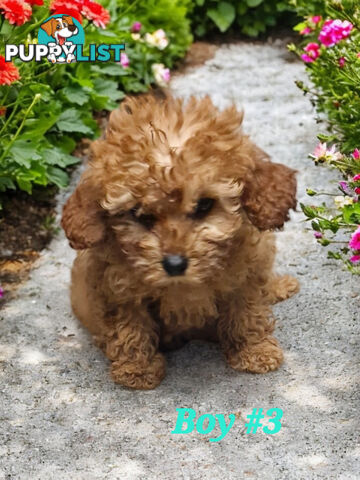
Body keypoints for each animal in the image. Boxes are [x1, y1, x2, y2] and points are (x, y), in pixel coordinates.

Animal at [61, 94, 298, 390]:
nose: (174, 264)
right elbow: (130, 327)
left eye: (205, 204)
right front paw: (137, 370)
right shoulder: (116, 289)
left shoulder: (246, 274)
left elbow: (246, 312)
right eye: (139, 214)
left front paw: (255, 352)